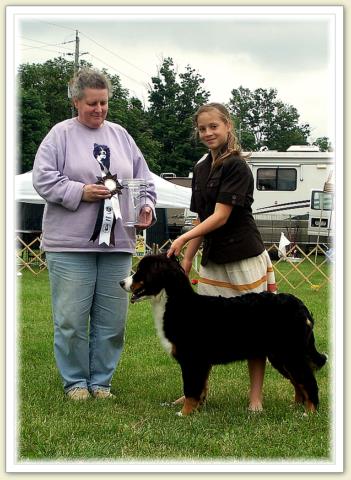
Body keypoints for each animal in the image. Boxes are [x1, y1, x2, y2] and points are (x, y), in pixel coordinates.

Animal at [120, 255, 328, 416]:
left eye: (140, 271)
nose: (121, 282)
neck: (177, 304)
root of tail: (301, 306)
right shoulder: (201, 362)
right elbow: (200, 387)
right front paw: (197, 409)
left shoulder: (192, 359)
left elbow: (190, 389)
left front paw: (184, 413)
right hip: (280, 356)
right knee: (298, 382)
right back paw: (296, 406)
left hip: (290, 354)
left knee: (308, 381)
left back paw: (308, 413)